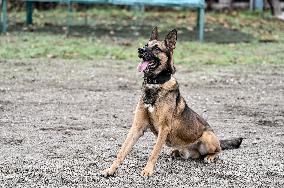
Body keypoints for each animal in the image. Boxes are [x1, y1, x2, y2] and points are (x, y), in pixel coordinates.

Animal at [101, 27, 242, 177]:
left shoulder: (164, 128)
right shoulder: (136, 128)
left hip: (207, 136)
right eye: (145, 45)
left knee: (219, 151)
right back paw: (176, 152)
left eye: (156, 48)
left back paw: (210, 156)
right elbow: (122, 151)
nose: (140, 49)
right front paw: (110, 169)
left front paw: (147, 170)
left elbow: (154, 152)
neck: (155, 84)